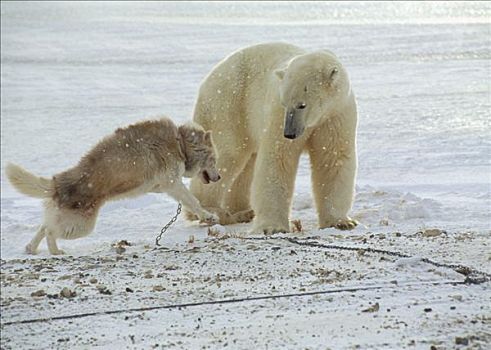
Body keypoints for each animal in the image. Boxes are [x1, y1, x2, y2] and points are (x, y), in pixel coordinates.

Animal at [190, 42, 360, 234]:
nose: (289, 133)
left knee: (247, 164)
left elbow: (333, 159)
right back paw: (210, 211)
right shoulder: (278, 115)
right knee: (228, 155)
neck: (317, 119)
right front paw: (272, 227)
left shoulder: (336, 114)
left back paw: (242, 212)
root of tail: (207, 80)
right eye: (285, 103)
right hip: (228, 107)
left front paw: (341, 222)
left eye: (302, 105)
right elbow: (278, 158)